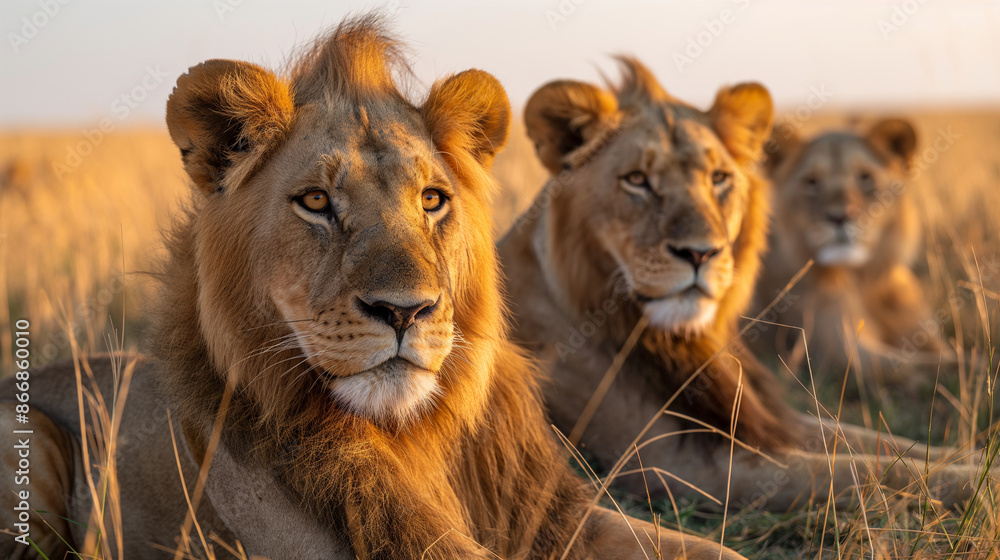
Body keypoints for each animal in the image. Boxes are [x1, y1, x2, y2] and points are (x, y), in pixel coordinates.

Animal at [752, 119, 953, 387]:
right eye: (812, 182)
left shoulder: (927, 337)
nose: (840, 217)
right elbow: (919, 366)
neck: (866, 282)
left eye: (865, 178)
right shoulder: (847, 353)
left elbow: (952, 356)